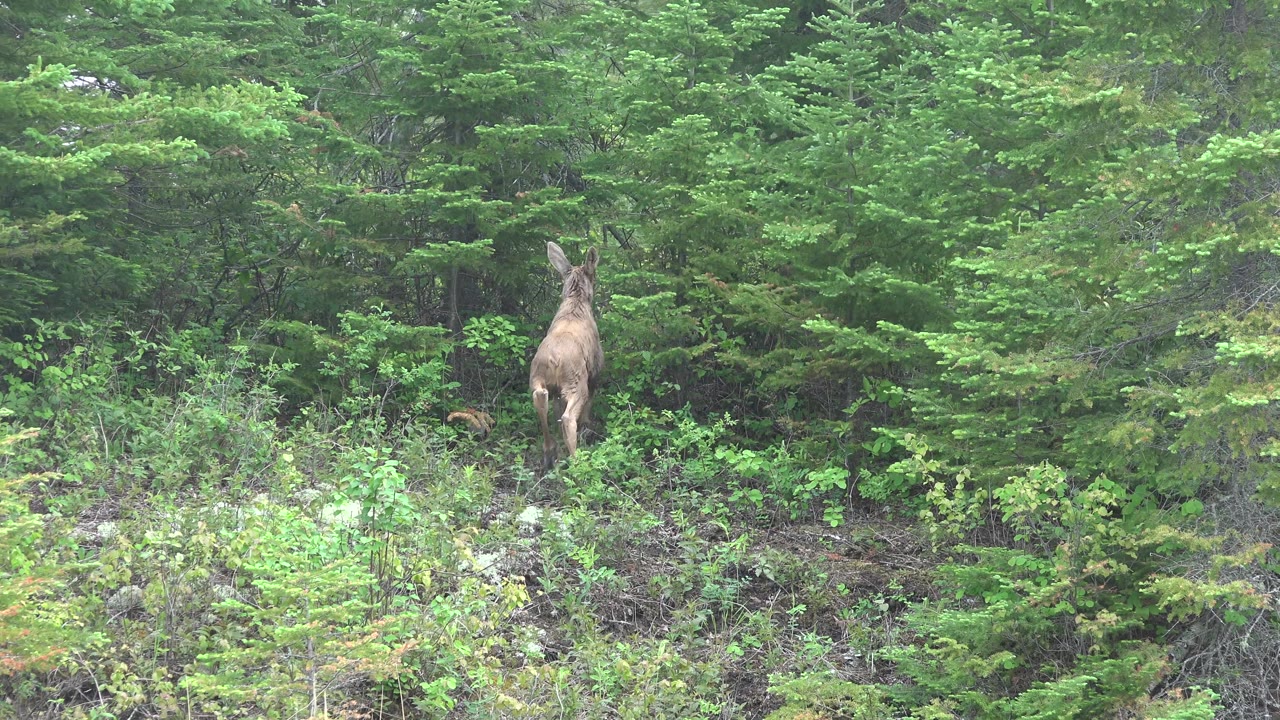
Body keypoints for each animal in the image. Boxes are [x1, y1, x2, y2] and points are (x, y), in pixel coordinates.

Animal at [529, 241, 602, 473]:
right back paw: (577, 462)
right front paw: (587, 429)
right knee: (569, 417)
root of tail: (553, 359)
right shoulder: (595, 371)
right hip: (576, 383)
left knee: (541, 399)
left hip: (537, 378)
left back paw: (549, 452)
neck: (576, 302)